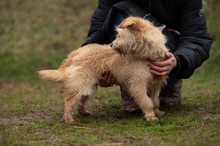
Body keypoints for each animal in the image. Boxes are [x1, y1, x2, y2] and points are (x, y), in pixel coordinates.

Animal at [38, 16, 168, 123]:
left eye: (120, 36)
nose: (111, 45)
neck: (147, 57)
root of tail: (77, 52)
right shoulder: (138, 85)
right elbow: (147, 101)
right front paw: (151, 116)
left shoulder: (156, 84)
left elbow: (155, 101)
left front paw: (158, 112)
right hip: (81, 83)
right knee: (69, 100)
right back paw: (68, 119)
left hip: (87, 85)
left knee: (80, 100)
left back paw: (83, 113)